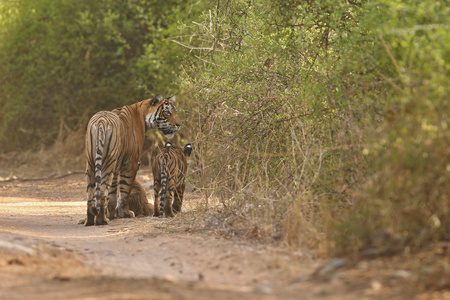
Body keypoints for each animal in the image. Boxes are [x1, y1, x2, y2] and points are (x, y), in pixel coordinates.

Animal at [84, 95, 179, 225]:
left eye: (175, 112)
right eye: (167, 112)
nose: (178, 125)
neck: (142, 114)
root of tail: (101, 121)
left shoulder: (117, 165)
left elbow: (113, 194)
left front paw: (112, 215)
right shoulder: (131, 163)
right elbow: (125, 191)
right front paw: (125, 213)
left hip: (91, 163)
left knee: (90, 194)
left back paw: (89, 220)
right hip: (106, 163)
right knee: (102, 191)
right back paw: (101, 220)